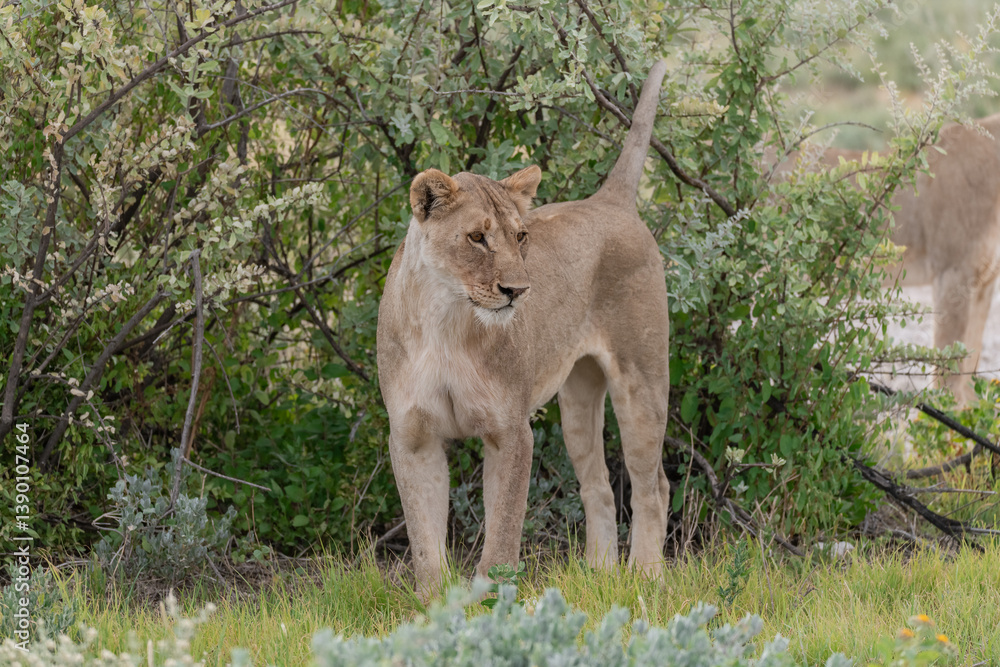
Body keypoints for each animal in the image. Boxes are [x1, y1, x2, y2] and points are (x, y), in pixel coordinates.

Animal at [377, 61, 671, 597]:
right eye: (476, 237)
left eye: (521, 236)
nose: (517, 290)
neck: (447, 321)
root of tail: (612, 201)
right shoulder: (412, 435)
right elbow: (425, 537)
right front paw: (432, 603)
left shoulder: (510, 432)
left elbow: (504, 528)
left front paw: (494, 599)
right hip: (577, 399)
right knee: (597, 485)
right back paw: (600, 574)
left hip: (642, 380)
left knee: (651, 484)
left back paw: (646, 577)